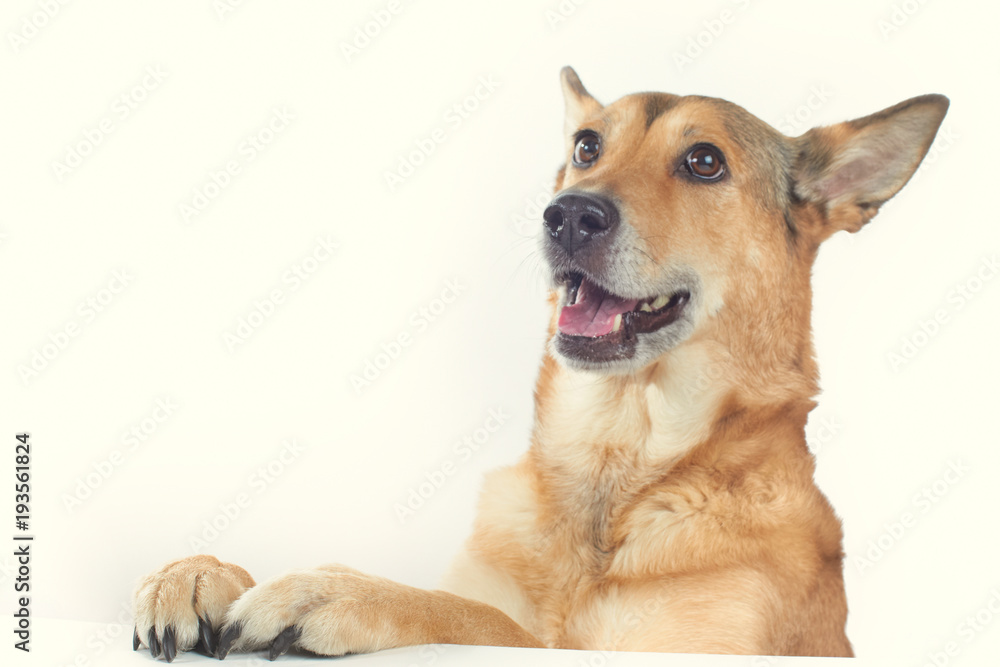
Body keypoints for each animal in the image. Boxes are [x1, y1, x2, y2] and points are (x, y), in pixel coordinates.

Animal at [131, 65, 944, 660]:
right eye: (587, 147)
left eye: (705, 161)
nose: (570, 215)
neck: (617, 468)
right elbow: (489, 607)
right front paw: (203, 572)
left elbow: (479, 620)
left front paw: (338, 590)